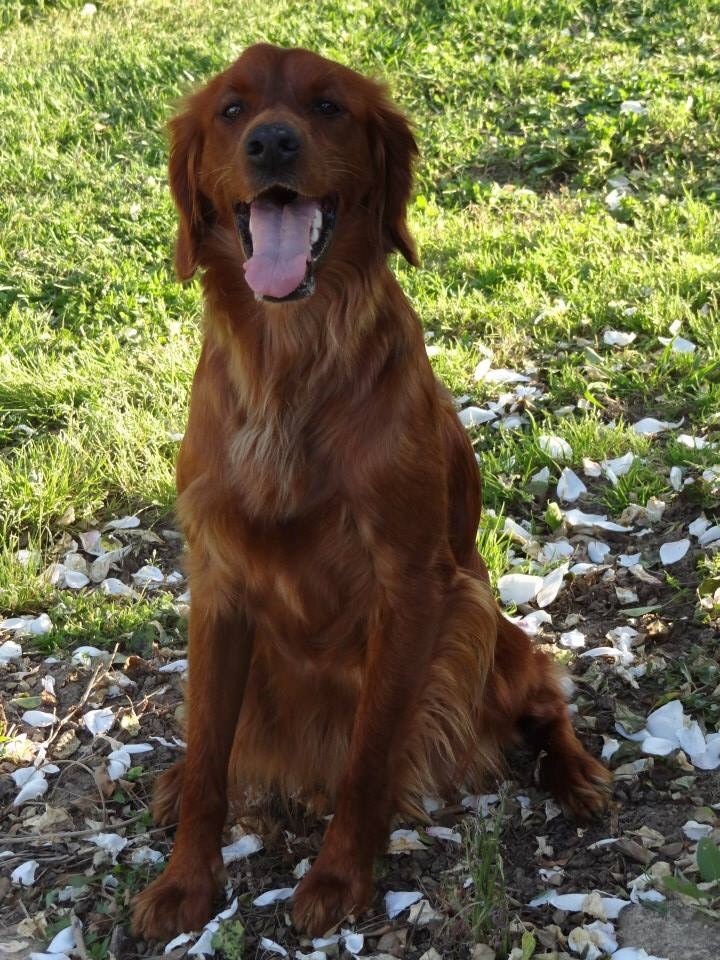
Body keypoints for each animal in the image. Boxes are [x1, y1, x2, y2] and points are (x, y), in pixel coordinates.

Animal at [132, 43, 608, 940]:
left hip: (479, 621)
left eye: (328, 106)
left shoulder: (412, 580)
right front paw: (183, 880)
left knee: (542, 700)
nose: (272, 144)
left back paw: (579, 776)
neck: (291, 356)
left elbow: (370, 751)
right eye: (231, 110)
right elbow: (209, 751)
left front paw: (340, 875)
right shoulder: (218, 584)